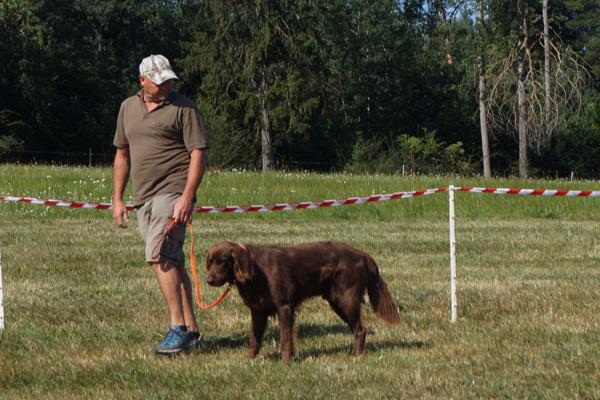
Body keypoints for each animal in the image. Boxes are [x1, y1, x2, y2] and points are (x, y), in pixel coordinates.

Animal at [205, 240, 401, 361]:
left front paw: (285, 362)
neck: (255, 269)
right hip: (337, 302)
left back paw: (355, 355)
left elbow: (286, 338)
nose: (209, 280)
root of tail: (362, 255)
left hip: (346, 299)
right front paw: (248, 360)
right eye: (211, 261)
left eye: (222, 261)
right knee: (357, 329)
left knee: (360, 329)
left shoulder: (284, 307)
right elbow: (254, 339)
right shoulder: (258, 311)